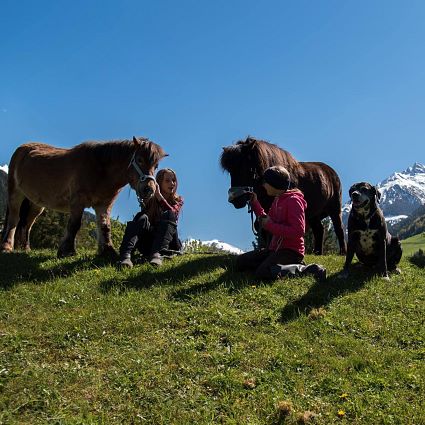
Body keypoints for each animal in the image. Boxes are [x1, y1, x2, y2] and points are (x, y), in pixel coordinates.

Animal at [0, 137, 166, 255]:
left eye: (156, 165)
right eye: (139, 160)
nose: (149, 189)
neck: (100, 170)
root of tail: (22, 148)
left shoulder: (104, 204)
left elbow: (105, 226)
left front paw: (107, 250)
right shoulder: (77, 202)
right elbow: (74, 225)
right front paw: (67, 251)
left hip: (36, 204)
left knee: (27, 224)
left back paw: (26, 248)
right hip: (15, 194)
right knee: (14, 219)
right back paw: (7, 247)